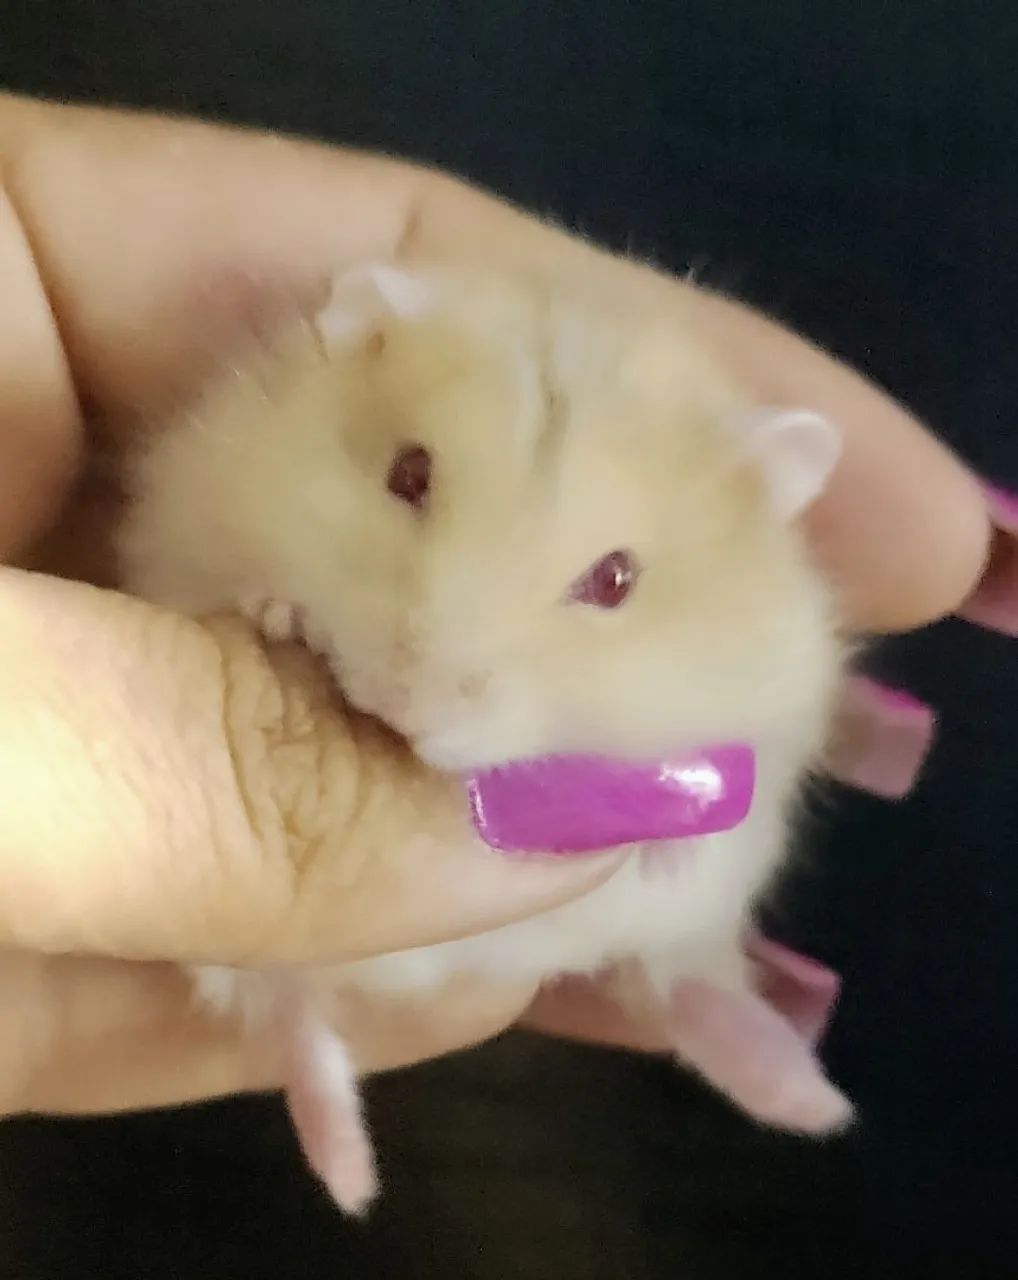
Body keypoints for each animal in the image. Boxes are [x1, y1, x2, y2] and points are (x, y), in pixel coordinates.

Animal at [117, 260, 849, 1216]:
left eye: (616, 579)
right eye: (409, 472)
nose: (415, 707)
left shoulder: (784, 693)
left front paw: (665, 829)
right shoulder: (180, 526)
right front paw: (283, 617)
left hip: (689, 934)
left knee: (684, 981)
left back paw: (812, 1103)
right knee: (295, 1020)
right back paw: (353, 1181)